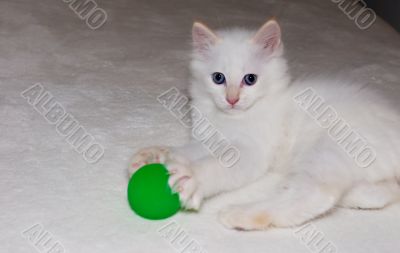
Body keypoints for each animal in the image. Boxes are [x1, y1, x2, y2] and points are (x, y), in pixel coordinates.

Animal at [129, 18, 400, 230]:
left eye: (250, 79)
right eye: (218, 78)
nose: (232, 99)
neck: (230, 118)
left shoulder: (252, 151)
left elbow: (216, 166)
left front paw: (191, 177)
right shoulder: (209, 139)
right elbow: (186, 150)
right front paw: (154, 155)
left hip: (329, 149)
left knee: (317, 194)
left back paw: (241, 214)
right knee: (379, 194)